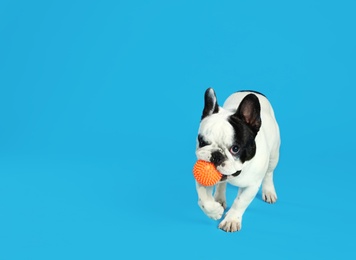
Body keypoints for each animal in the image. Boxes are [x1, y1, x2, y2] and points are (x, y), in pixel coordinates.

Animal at [196, 88, 280, 232]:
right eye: (202, 142)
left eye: (235, 148)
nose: (216, 155)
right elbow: (203, 199)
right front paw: (213, 211)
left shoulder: (252, 185)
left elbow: (240, 202)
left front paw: (231, 220)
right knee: (221, 184)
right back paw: (219, 198)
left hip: (274, 155)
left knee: (269, 174)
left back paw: (269, 191)